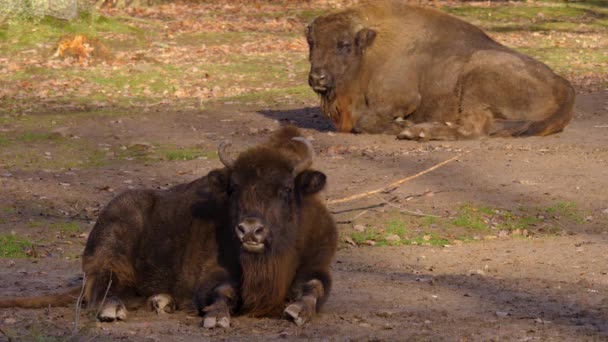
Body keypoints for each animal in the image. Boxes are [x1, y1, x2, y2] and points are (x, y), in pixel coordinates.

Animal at [0, 127, 338, 328]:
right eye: (234, 188)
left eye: (285, 189)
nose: (250, 230)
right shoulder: (213, 273)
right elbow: (223, 290)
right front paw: (216, 318)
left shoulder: (318, 265)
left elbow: (315, 287)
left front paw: (297, 311)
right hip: (111, 247)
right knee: (103, 287)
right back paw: (114, 310)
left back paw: (161, 301)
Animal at [308, 0, 576, 140]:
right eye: (312, 42)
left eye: (344, 44)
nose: (317, 77)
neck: (371, 46)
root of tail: (565, 87)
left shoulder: (402, 99)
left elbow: (366, 120)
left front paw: (402, 127)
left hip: (477, 75)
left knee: (473, 129)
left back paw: (418, 132)